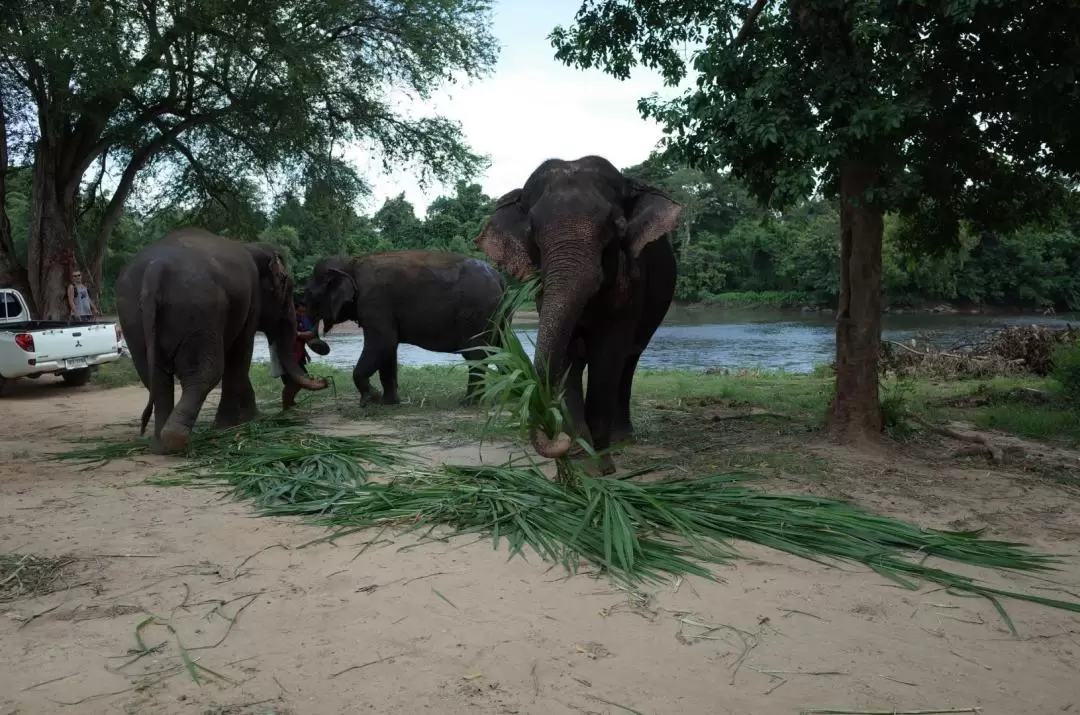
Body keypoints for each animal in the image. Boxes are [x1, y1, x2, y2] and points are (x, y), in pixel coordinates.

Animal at [115, 226, 328, 455]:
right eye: (287, 287)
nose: (323, 380)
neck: (252, 246)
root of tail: (156, 267)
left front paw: (249, 420)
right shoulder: (251, 302)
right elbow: (241, 353)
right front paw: (237, 424)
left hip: (132, 318)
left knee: (156, 378)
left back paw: (160, 446)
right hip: (200, 310)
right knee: (205, 372)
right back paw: (176, 439)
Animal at [304, 250, 505, 406]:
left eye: (309, 295)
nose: (324, 346)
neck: (350, 262)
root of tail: (499, 278)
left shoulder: (374, 301)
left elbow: (383, 343)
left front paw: (371, 399)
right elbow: (388, 349)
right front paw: (388, 403)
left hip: (478, 312)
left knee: (475, 353)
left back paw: (469, 402)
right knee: (501, 347)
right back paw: (508, 394)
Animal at [475, 155, 678, 475]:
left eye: (616, 226)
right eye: (531, 231)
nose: (555, 437)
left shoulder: (632, 284)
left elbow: (607, 355)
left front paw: (601, 466)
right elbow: (566, 356)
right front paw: (580, 459)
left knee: (629, 360)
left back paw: (623, 437)